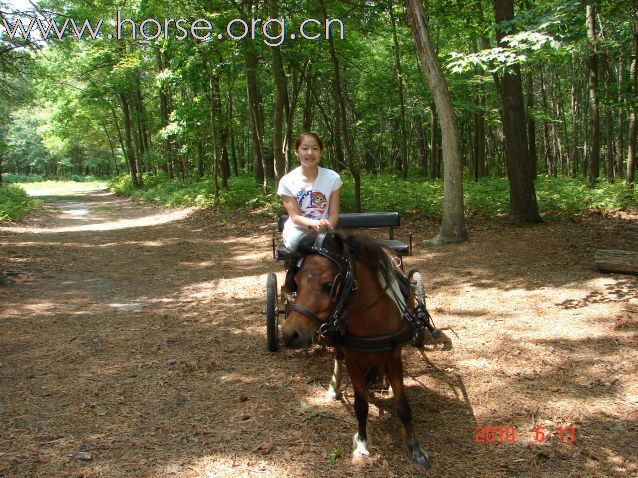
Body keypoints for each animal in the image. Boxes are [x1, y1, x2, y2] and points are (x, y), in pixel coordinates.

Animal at [282, 230, 432, 468]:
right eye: (294, 282)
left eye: (328, 285)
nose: (290, 334)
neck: (371, 319)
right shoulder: (354, 362)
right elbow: (361, 406)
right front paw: (362, 443)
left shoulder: (393, 359)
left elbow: (403, 406)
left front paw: (415, 448)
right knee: (337, 357)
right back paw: (334, 387)